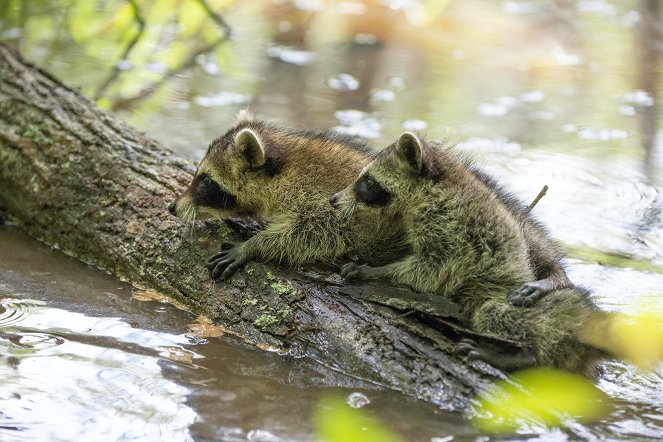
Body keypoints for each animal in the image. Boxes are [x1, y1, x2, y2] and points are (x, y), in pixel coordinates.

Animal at [334, 132, 616, 372]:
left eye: (367, 181)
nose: (333, 200)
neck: (433, 189)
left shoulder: (454, 232)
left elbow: (429, 272)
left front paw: (375, 270)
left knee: (496, 313)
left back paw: (523, 353)